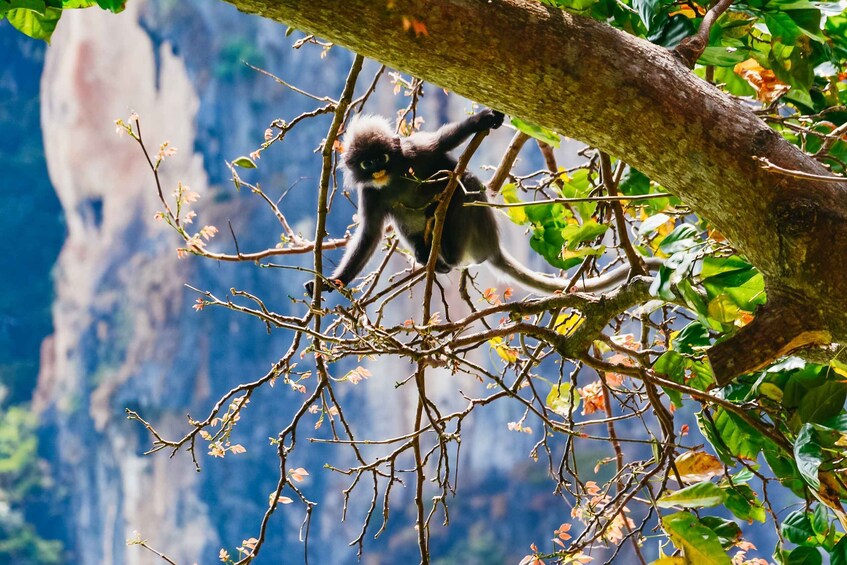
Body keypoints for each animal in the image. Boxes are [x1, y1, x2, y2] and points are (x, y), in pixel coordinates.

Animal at [304, 108, 664, 298]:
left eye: (382, 157)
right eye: (367, 164)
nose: (376, 169)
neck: (393, 177)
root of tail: (491, 248)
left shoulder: (414, 152)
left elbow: (444, 142)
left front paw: (483, 119)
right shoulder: (371, 194)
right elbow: (369, 236)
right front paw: (333, 283)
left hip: (473, 232)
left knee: (466, 188)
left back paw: (445, 247)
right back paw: (429, 254)